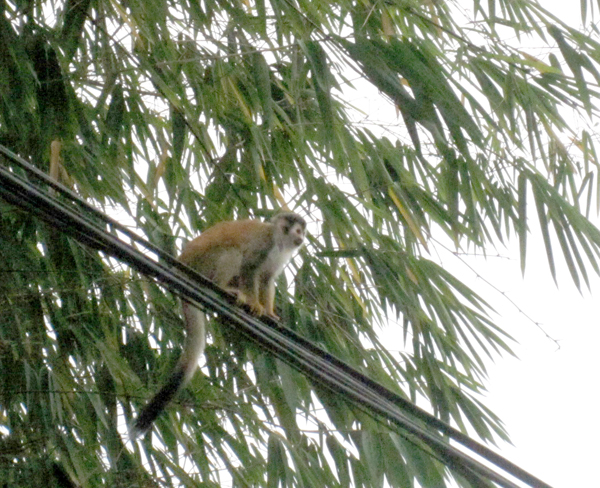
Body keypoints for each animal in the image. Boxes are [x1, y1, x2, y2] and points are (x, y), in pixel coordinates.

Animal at [133, 212, 308, 432]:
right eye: (298, 231)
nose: (302, 239)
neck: (279, 241)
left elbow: (266, 280)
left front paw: (269, 313)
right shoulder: (265, 242)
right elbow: (249, 267)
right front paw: (255, 304)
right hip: (202, 263)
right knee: (233, 251)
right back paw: (225, 288)